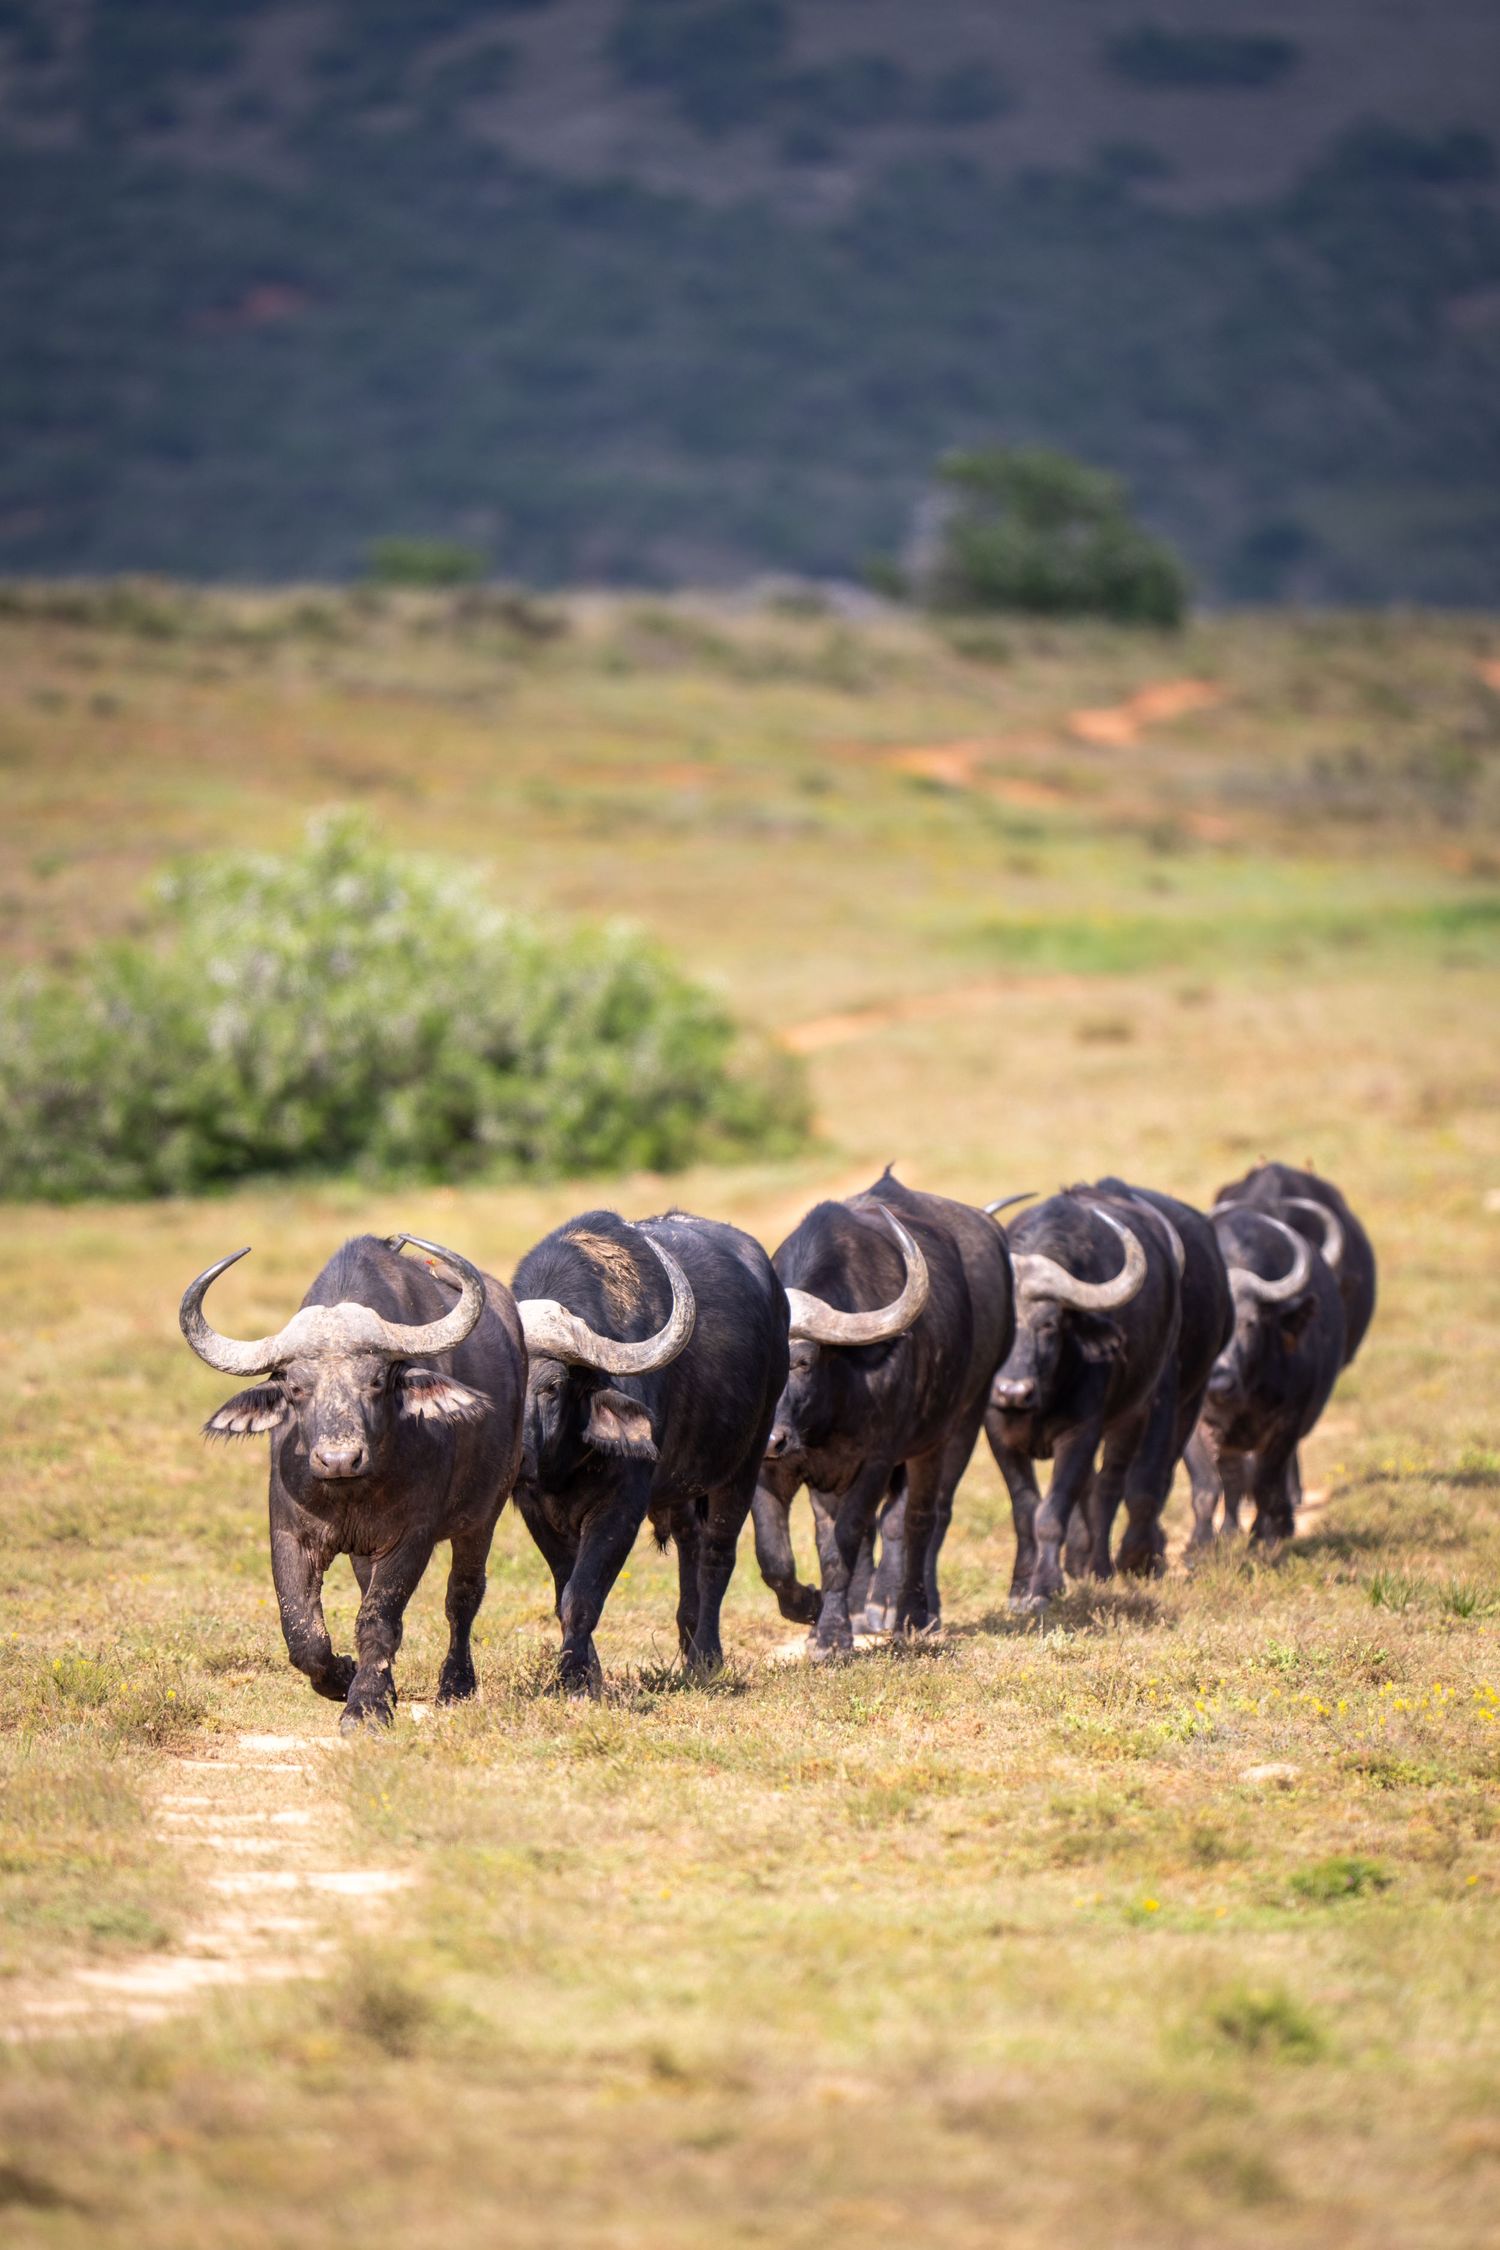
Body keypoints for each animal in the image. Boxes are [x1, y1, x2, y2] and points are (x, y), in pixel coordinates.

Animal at [181, 1233, 524, 1731]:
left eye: (378, 1380)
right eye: (295, 1387)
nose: (339, 1459)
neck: (352, 1491)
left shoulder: (411, 1537)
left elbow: (379, 1619)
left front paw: (365, 1706)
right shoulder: (290, 1534)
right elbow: (302, 1631)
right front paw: (344, 1676)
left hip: (483, 1516)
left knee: (462, 1595)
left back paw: (456, 1684)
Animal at [512, 1208, 788, 1689]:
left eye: (552, 1386)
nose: (518, 1458)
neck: (562, 1464)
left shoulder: (622, 1505)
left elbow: (582, 1595)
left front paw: (575, 1680)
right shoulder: (536, 1509)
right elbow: (565, 1589)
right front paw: (588, 1673)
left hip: (747, 1457)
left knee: (717, 1552)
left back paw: (706, 1657)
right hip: (682, 1484)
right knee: (690, 1542)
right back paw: (688, 1640)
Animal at [752, 1168, 1015, 1651]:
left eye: (803, 1361)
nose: (772, 1439)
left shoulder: (874, 1461)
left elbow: (845, 1542)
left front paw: (832, 1636)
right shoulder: (771, 1466)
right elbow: (775, 1555)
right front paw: (810, 1608)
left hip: (953, 1430)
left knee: (918, 1521)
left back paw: (911, 1614)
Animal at [985, 1193, 1178, 1605]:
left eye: (1048, 1324)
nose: (1011, 1391)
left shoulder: (1080, 1434)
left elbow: (1051, 1513)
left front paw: (1045, 1587)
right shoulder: (997, 1435)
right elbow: (1025, 1510)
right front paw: (1020, 1586)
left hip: (1135, 1412)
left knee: (1107, 1487)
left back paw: (1100, 1568)